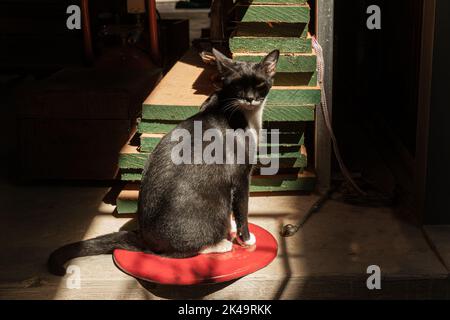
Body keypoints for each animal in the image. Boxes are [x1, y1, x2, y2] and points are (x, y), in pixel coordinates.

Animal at [50, 48, 282, 276]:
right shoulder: (241, 176)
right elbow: (242, 208)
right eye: (238, 85)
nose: (250, 98)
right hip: (216, 202)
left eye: (259, 84)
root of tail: (145, 239)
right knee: (178, 253)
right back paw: (220, 244)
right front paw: (246, 238)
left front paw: (231, 227)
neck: (241, 112)